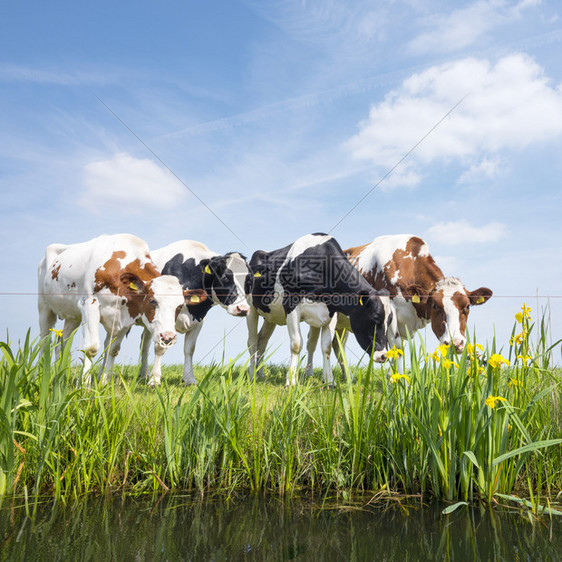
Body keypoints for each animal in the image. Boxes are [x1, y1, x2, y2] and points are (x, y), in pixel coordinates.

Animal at [38, 233, 190, 384]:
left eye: (180, 306)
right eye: (152, 300)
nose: (168, 337)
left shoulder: (125, 317)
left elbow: (112, 349)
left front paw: (104, 382)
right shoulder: (89, 304)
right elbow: (91, 347)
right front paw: (84, 385)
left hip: (73, 316)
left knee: (62, 342)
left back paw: (59, 377)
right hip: (44, 307)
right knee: (44, 341)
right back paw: (41, 376)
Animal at [137, 238, 248, 382]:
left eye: (248, 280)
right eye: (224, 277)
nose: (243, 309)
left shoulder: (198, 320)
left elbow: (189, 349)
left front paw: (189, 379)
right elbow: (160, 347)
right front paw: (155, 379)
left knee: (144, 343)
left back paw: (143, 373)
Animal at [243, 232, 392, 384]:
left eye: (389, 321)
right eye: (374, 318)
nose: (383, 356)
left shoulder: (330, 313)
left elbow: (326, 346)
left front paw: (330, 382)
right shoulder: (291, 306)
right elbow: (296, 344)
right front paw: (291, 381)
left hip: (271, 316)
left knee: (262, 340)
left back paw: (260, 374)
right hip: (250, 308)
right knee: (252, 341)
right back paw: (251, 375)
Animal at [304, 233, 492, 372]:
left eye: (467, 306)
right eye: (436, 306)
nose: (455, 343)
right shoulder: (391, 314)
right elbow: (396, 347)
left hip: (343, 323)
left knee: (338, 345)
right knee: (312, 343)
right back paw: (310, 373)